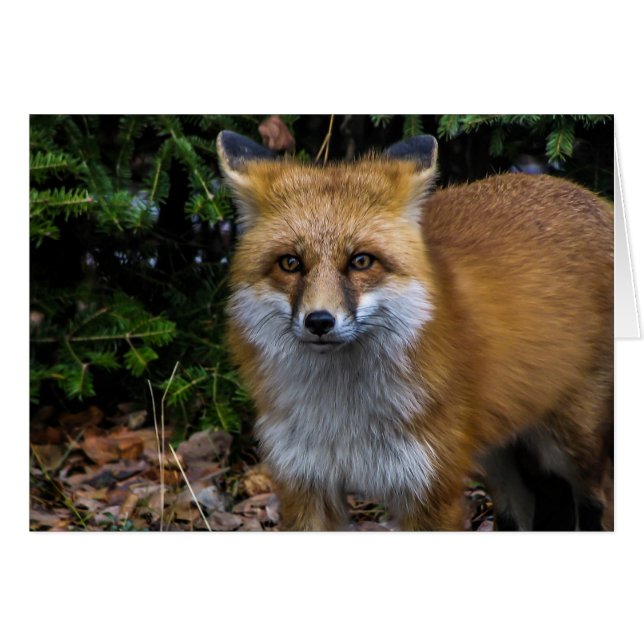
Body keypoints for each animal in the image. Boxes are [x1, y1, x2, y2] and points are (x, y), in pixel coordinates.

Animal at [216, 130, 614, 531]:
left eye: (361, 261)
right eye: (290, 263)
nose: (319, 321)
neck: (343, 415)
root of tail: (589, 194)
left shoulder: (428, 485)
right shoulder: (305, 483)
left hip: (571, 446)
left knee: (600, 498)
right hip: (498, 456)